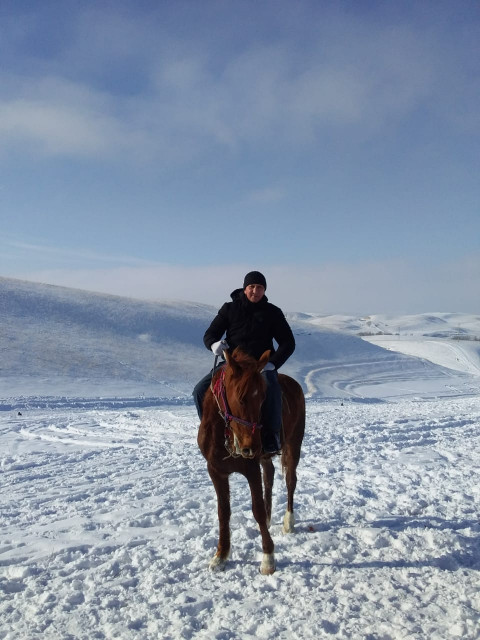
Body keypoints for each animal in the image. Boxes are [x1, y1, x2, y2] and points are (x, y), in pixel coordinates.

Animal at [197, 350, 306, 576]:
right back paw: (270, 517)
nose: (252, 446)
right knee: (270, 476)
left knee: (290, 481)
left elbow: (256, 509)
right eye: (240, 398)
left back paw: (288, 522)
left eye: (263, 397)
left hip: (293, 446)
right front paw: (220, 555)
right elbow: (223, 512)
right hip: (265, 458)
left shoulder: (251, 469)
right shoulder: (216, 471)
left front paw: (268, 558)